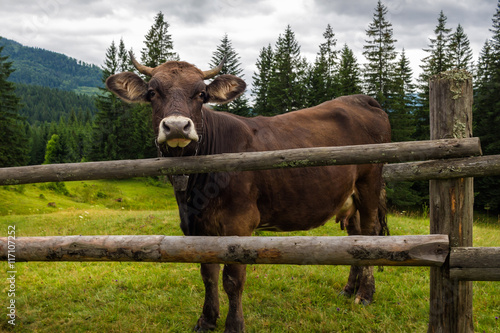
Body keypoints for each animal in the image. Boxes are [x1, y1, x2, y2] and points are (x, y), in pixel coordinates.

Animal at [106, 53, 390, 330]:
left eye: (201, 94)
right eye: (152, 92)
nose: (176, 126)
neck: (192, 189)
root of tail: (360, 98)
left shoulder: (239, 222)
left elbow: (232, 279)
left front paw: (234, 325)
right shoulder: (198, 226)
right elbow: (207, 273)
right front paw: (207, 320)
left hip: (370, 183)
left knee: (370, 234)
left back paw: (365, 294)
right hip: (350, 197)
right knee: (355, 238)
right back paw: (349, 289)